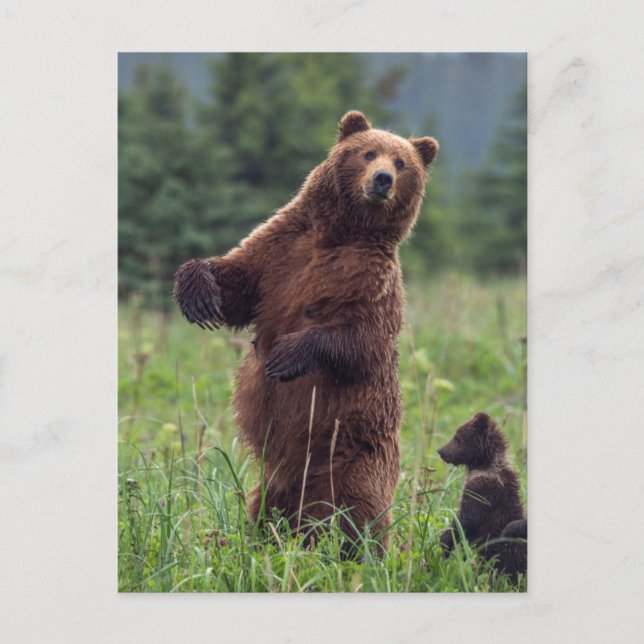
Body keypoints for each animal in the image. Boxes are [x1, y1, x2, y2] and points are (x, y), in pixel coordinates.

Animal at [173, 110, 439, 551]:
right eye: (368, 152)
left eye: (402, 163)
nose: (383, 179)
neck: (343, 232)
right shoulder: (282, 250)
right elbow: (239, 281)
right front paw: (197, 292)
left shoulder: (373, 282)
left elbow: (364, 340)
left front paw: (287, 356)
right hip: (275, 482)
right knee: (265, 509)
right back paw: (262, 540)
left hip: (358, 456)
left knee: (360, 511)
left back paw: (359, 549)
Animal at [437, 412, 527, 580]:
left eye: (458, 438)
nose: (441, 451)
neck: (484, 464)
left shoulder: (481, 489)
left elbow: (466, 519)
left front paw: (445, 542)